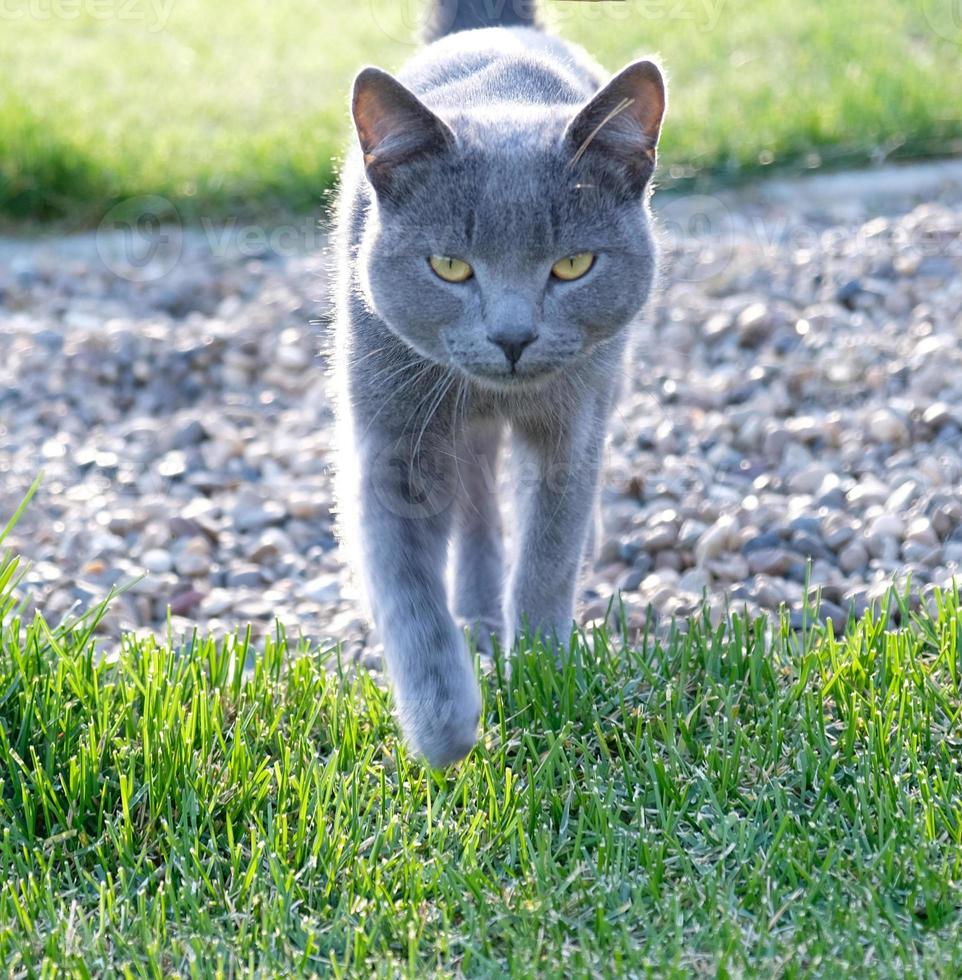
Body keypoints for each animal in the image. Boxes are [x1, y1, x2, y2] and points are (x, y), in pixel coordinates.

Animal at [334, 0, 664, 764]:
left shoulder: (572, 428)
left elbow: (547, 553)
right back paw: (478, 620)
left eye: (573, 264)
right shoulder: (392, 436)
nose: (513, 338)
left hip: (606, 372)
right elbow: (406, 589)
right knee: (478, 504)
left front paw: (542, 677)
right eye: (450, 266)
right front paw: (444, 726)